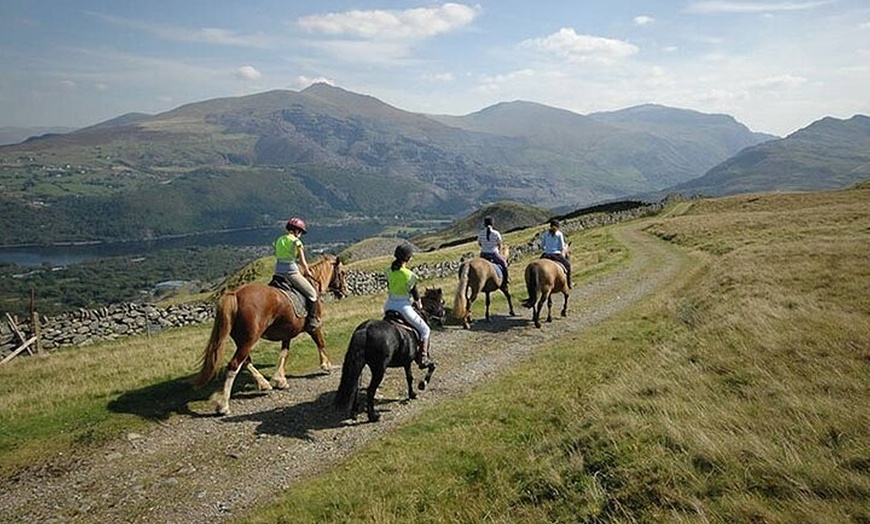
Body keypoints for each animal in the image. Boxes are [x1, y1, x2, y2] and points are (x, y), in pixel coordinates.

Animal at [194, 256, 348, 416]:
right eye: (343, 273)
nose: (345, 291)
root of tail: (235, 294)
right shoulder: (314, 326)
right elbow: (321, 343)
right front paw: (326, 365)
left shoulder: (287, 333)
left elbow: (284, 353)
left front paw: (280, 380)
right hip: (249, 339)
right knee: (234, 364)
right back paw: (223, 405)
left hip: (242, 340)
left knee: (246, 361)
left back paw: (263, 384)